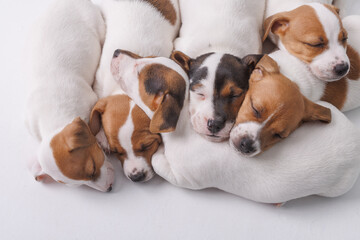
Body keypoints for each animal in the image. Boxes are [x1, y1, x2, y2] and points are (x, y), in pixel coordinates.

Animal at [25, 0, 114, 192]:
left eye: (92, 168)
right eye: (81, 184)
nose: (109, 189)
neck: (55, 119)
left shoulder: (90, 99)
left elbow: (95, 119)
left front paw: (101, 136)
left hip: (97, 24)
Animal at [91, 0, 179, 180]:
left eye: (147, 146)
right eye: (116, 151)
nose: (136, 177)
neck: (127, 85)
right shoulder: (100, 82)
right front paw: (101, 134)